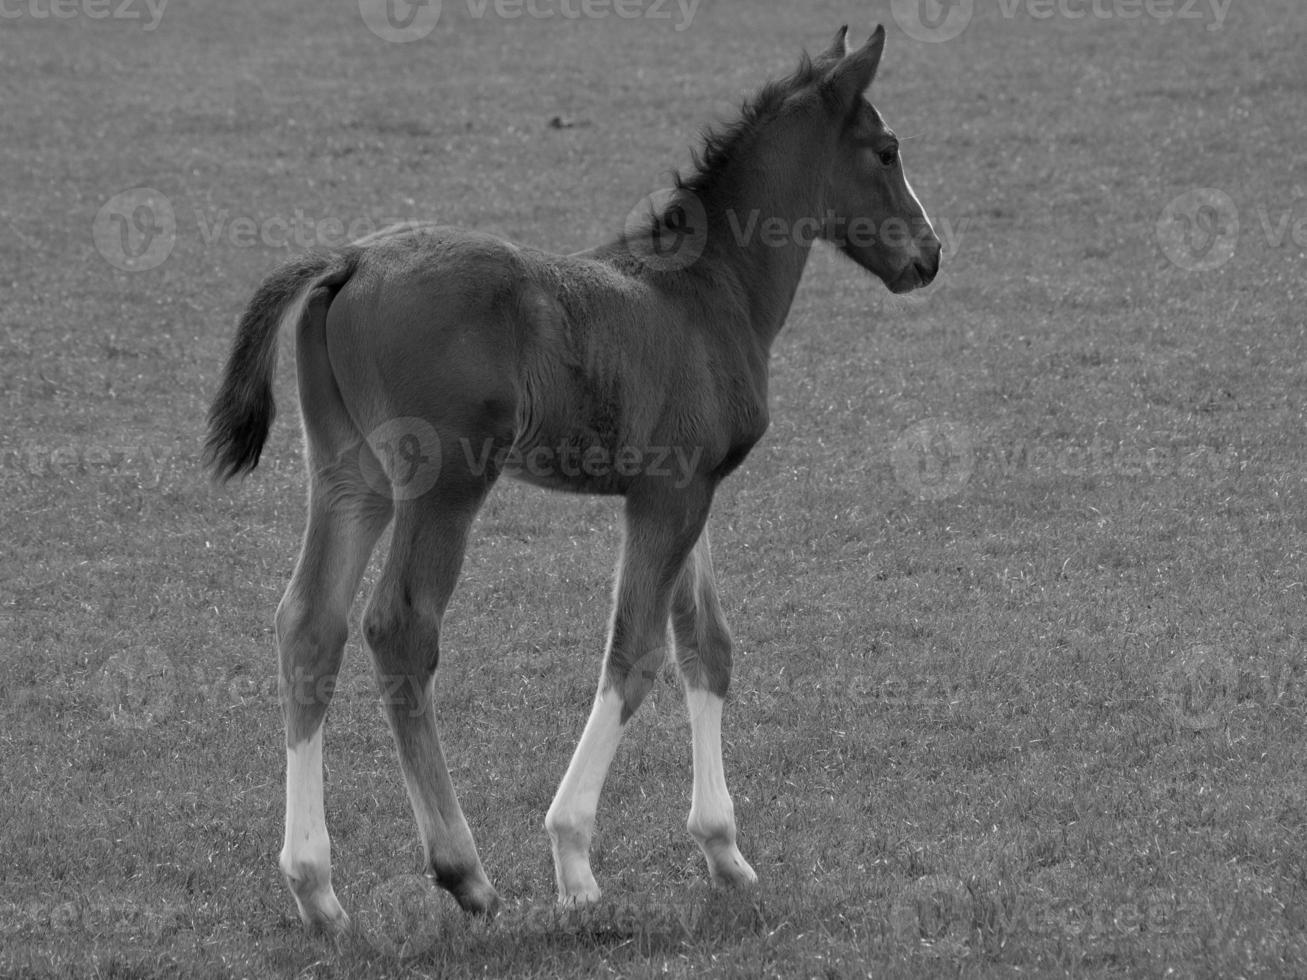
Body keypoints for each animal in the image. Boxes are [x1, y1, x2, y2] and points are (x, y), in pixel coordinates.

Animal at [203, 24, 941, 935]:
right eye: (886, 150)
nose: (930, 254)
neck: (708, 289)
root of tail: (350, 259)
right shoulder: (668, 498)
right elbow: (635, 652)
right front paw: (574, 858)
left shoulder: (687, 492)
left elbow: (705, 646)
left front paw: (724, 852)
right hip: (445, 485)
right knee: (399, 628)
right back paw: (465, 872)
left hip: (350, 477)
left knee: (310, 625)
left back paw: (316, 886)